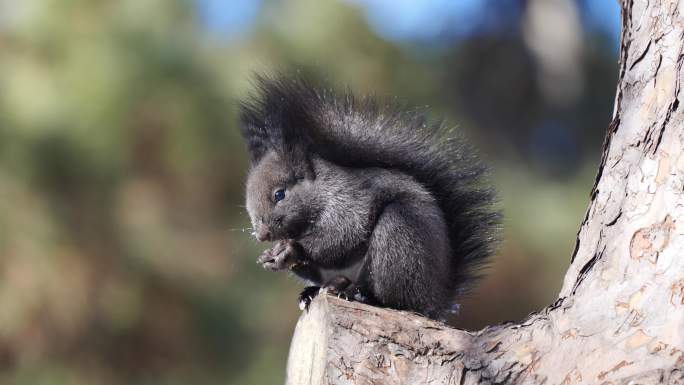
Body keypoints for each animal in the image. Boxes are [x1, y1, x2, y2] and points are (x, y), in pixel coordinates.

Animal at [238, 73, 500, 320]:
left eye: (279, 194)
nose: (262, 236)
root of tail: (437, 299)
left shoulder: (349, 199)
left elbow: (345, 234)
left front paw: (291, 250)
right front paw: (271, 257)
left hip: (400, 238)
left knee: (395, 298)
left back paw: (360, 294)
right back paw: (319, 290)